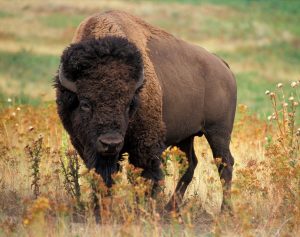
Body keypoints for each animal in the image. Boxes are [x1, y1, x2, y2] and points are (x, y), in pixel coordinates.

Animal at [54, 10, 237, 211]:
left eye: (128, 104)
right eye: (85, 103)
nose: (111, 143)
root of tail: (222, 65)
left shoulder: (145, 146)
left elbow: (146, 177)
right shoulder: (86, 145)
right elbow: (103, 177)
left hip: (218, 132)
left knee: (224, 164)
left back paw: (224, 210)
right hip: (186, 136)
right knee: (190, 164)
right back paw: (170, 208)